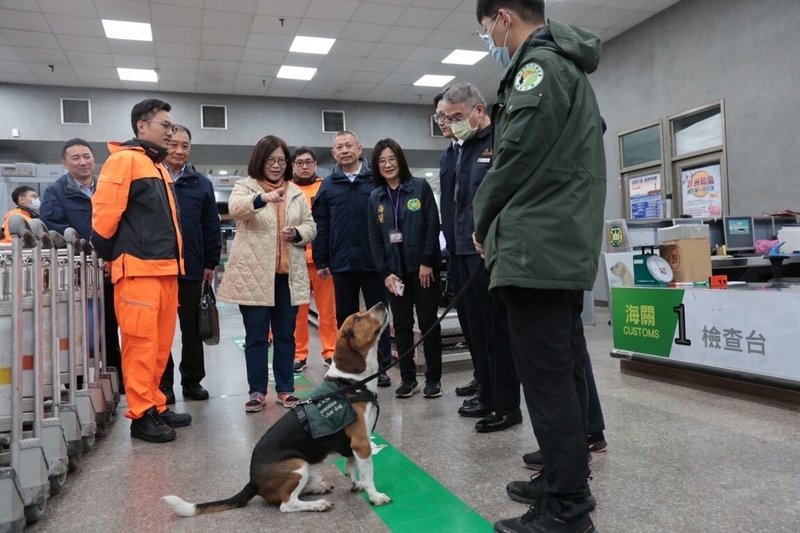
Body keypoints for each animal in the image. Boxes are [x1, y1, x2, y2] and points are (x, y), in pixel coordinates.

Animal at [162, 302, 390, 512]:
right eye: (358, 319)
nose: (380, 303)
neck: (349, 382)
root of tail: (253, 482)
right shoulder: (361, 443)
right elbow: (369, 473)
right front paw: (375, 496)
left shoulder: (354, 446)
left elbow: (352, 468)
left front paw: (357, 484)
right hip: (298, 466)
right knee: (287, 504)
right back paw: (317, 504)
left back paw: (317, 488)